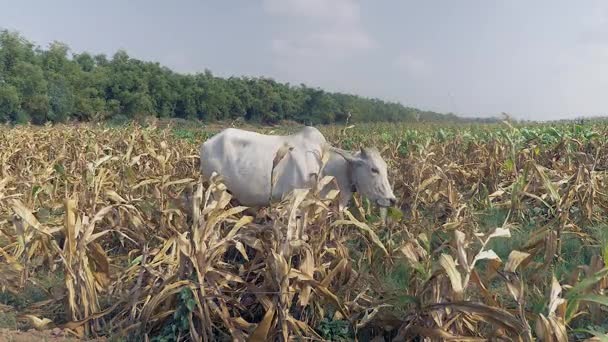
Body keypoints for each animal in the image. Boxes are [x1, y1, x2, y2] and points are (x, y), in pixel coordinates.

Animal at [201, 126, 400, 208]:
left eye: (386, 168)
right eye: (374, 169)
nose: (392, 200)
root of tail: (207, 143)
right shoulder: (291, 201)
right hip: (215, 191)